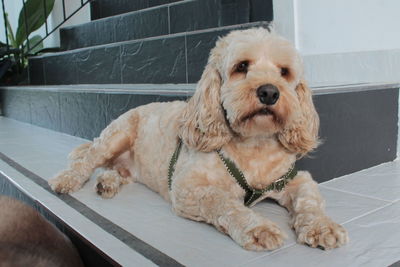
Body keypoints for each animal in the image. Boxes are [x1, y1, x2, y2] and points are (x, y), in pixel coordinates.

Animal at [49, 28, 350, 252]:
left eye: (284, 71)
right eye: (242, 66)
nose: (269, 92)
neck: (254, 145)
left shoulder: (294, 179)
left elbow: (309, 199)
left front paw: (322, 226)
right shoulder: (187, 188)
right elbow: (223, 202)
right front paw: (257, 227)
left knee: (115, 170)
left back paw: (108, 182)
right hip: (116, 135)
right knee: (87, 161)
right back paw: (67, 179)